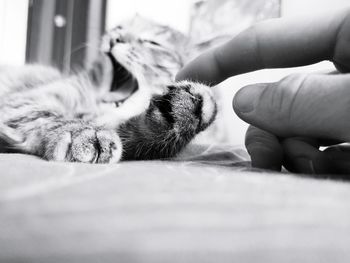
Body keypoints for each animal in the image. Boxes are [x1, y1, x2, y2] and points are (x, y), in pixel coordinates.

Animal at [0, 16, 217, 163]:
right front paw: (79, 131)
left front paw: (180, 115)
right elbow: (48, 116)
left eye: (152, 42)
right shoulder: (24, 100)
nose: (116, 38)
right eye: (118, 28)